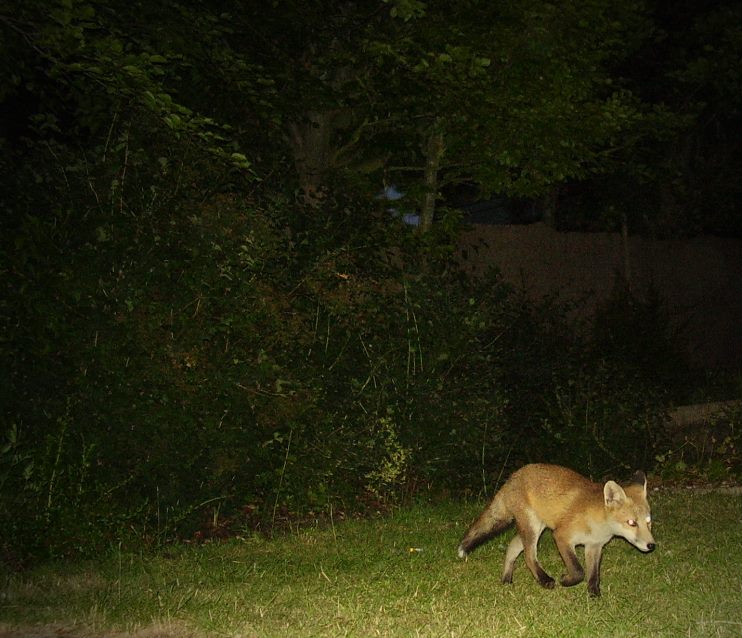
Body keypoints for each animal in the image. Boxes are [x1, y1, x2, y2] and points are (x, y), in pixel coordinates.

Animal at [460, 462, 656, 596]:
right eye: (631, 523)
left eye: (648, 522)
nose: (651, 546)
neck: (598, 525)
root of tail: (514, 475)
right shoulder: (562, 536)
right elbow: (578, 571)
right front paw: (566, 580)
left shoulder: (594, 546)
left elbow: (594, 574)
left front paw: (594, 594)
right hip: (532, 528)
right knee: (529, 557)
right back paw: (544, 580)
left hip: (535, 527)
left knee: (513, 546)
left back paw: (506, 578)